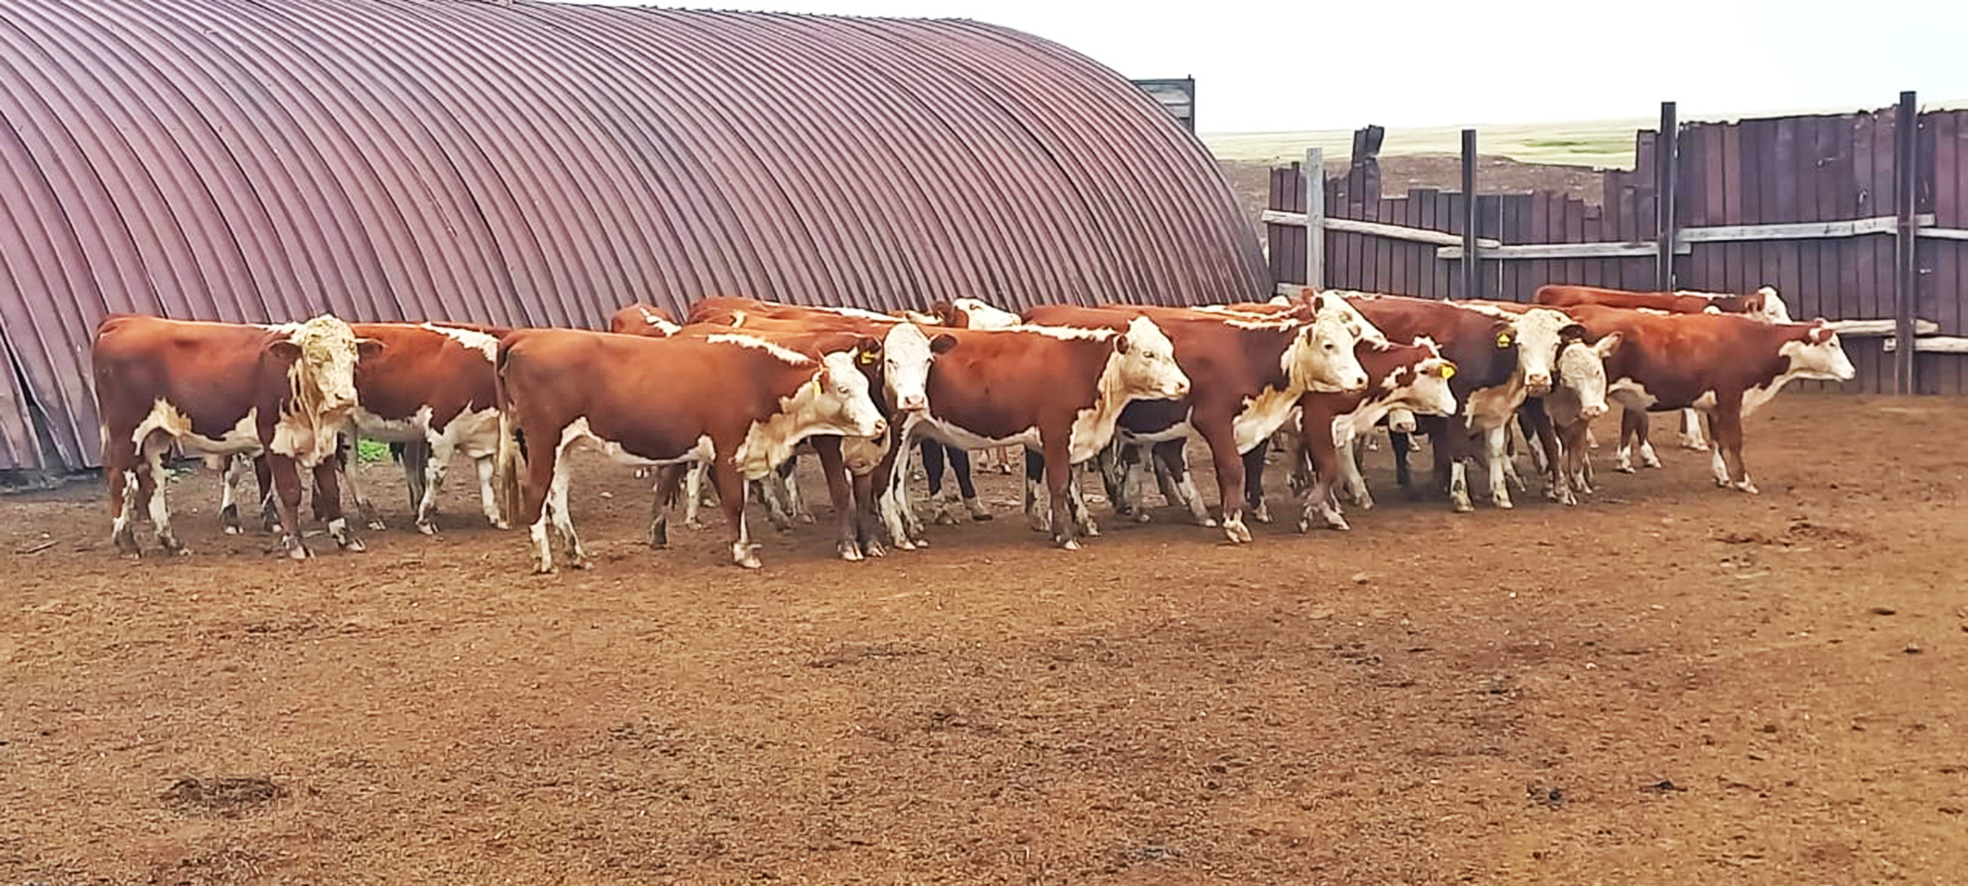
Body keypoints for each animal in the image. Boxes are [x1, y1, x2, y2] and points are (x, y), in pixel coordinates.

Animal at [91, 315, 379, 559]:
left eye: (353, 358)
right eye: (315, 360)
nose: (345, 397)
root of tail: (125, 320)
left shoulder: (326, 441)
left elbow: (331, 489)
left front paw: (346, 538)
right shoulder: (276, 439)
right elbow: (290, 491)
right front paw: (296, 544)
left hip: (156, 437)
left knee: (154, 484)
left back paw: (172, 543)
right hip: (125, 431)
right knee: (120, 481)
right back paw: (128, 544)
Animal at [495, 328, 889, 570]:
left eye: (865, 384)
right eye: (843, 389)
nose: (881, 425)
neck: (756, 377)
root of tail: (528, 334)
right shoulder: (727, 447)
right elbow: (735, 501)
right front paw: (743, 553)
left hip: (564, 444)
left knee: (556, 495)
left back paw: (576, 554)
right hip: (543, 438)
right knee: (536, 491)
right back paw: (544, 559)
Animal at [885, 318, 1188, 551]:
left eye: (1170, 351)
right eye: (1148, 353)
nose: (1184, 384)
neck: (1080, 365)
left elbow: (1072, 485)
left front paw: (1078, 524)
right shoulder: (1056, 431)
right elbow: (1059, 484)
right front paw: (1065, 536)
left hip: (910, 436)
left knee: (898, 481)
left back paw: (911, 528)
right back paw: (901, 534)